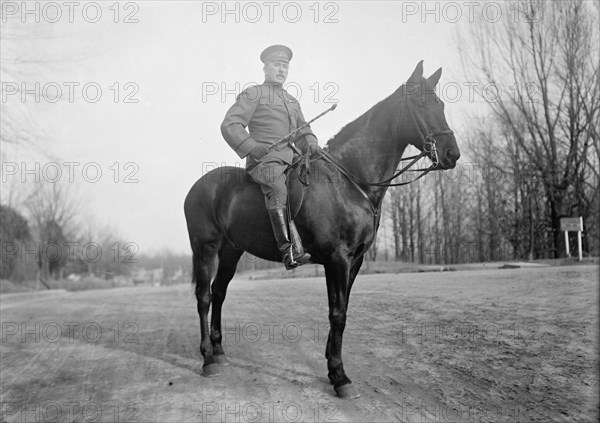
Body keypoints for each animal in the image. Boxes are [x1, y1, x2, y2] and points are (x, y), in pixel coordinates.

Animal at [183, 61, 460, 400]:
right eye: (421, 104)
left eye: (441, 104)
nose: (452, 154)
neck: (350, 178)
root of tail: (198, 186)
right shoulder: (337, 259)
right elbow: (337, 314)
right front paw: (340, 376)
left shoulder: (355, 261)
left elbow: (342, 310)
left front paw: (331, 364)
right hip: (205, 248)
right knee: (203, 297)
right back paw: (208, 358)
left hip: (232, 251)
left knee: (219, 293)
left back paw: (220, 351)